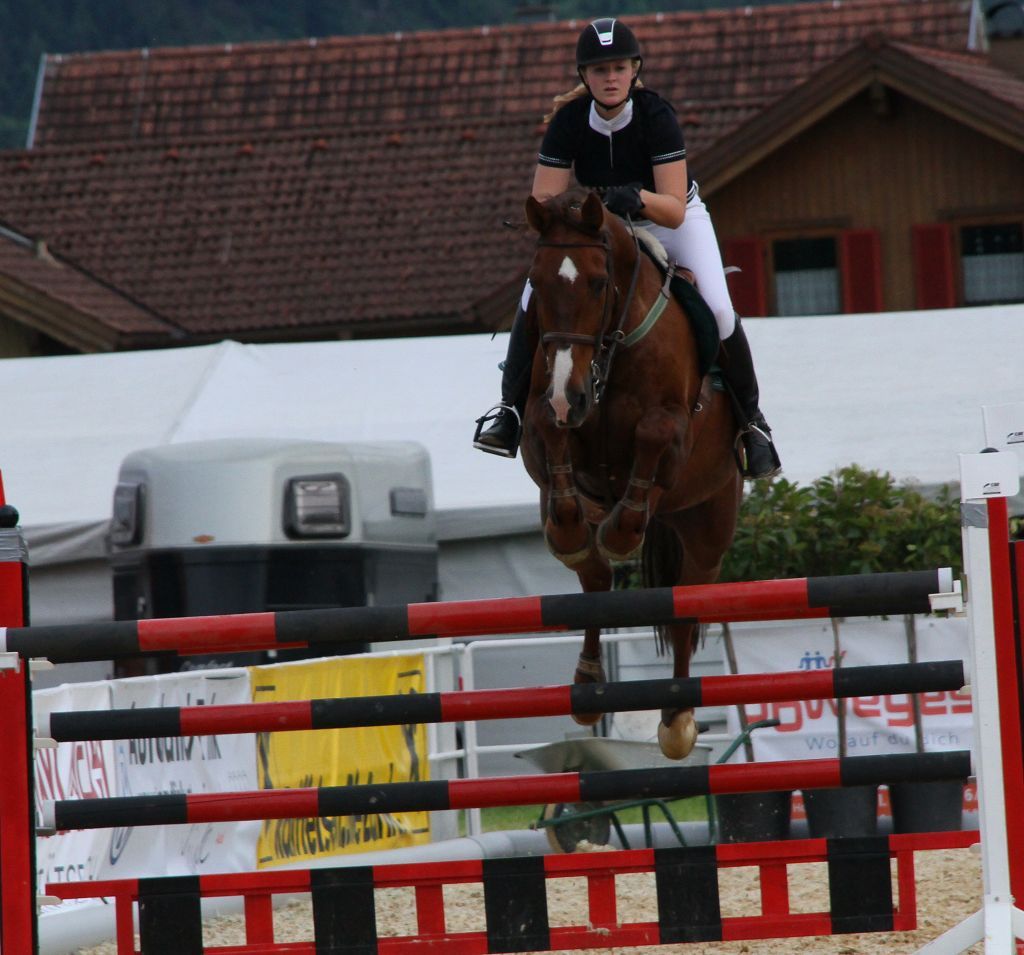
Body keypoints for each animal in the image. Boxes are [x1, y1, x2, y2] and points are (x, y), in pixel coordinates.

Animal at [519, 187, 743, 760]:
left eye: (599, 282)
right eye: (537, 282)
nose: (569, 395)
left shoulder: (673, 432)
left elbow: (653, 437)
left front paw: (621, 534)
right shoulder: (543, 417)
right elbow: (548, 431)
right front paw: (576, 529)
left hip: (708, 525)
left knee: (685, 603)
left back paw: (678, 719)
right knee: (595, 581)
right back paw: (587, 683)